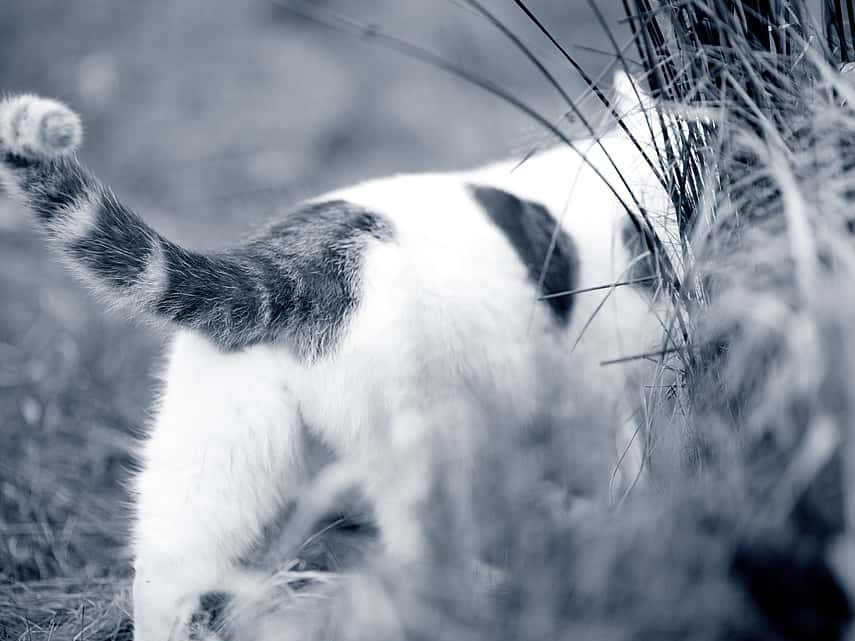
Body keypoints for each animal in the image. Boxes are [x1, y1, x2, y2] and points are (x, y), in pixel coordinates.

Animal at [0, 72, 668, 636]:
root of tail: (279, 266)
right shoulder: (606, 390)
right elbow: (629, 470)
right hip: (421, 446)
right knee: (413, 560)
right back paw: (471, 600)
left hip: (217, 460)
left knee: (165, 568)